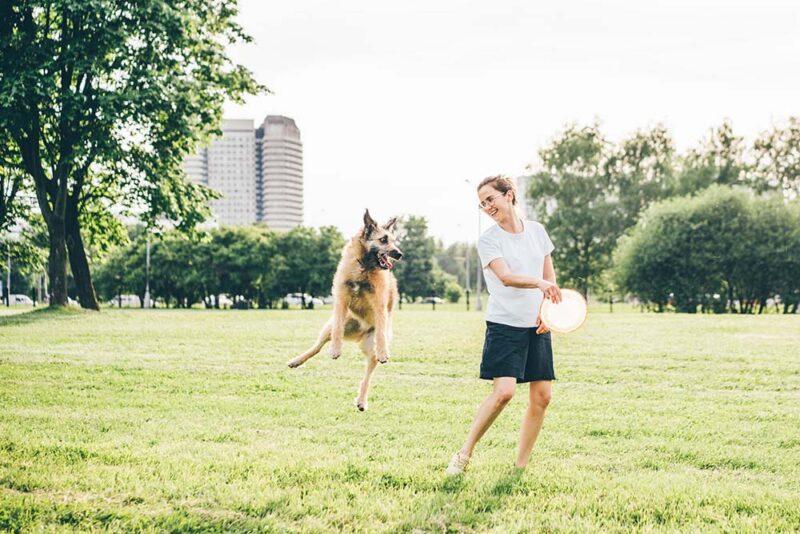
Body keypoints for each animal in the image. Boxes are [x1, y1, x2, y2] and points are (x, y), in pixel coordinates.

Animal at [288, 211, 404, 412]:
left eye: (394, 241)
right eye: (383, 239)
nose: (399, 254)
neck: (364, 267)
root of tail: (359, 334)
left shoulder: (380, 305)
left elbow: (381, 332)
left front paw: (383, 352)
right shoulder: (340, 299)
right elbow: (336, 332)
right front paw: (335, 349)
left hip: (370, 348)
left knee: (367, 374)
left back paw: (362, 400)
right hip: (332, 326)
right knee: (318, 346)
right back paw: (298, 360)